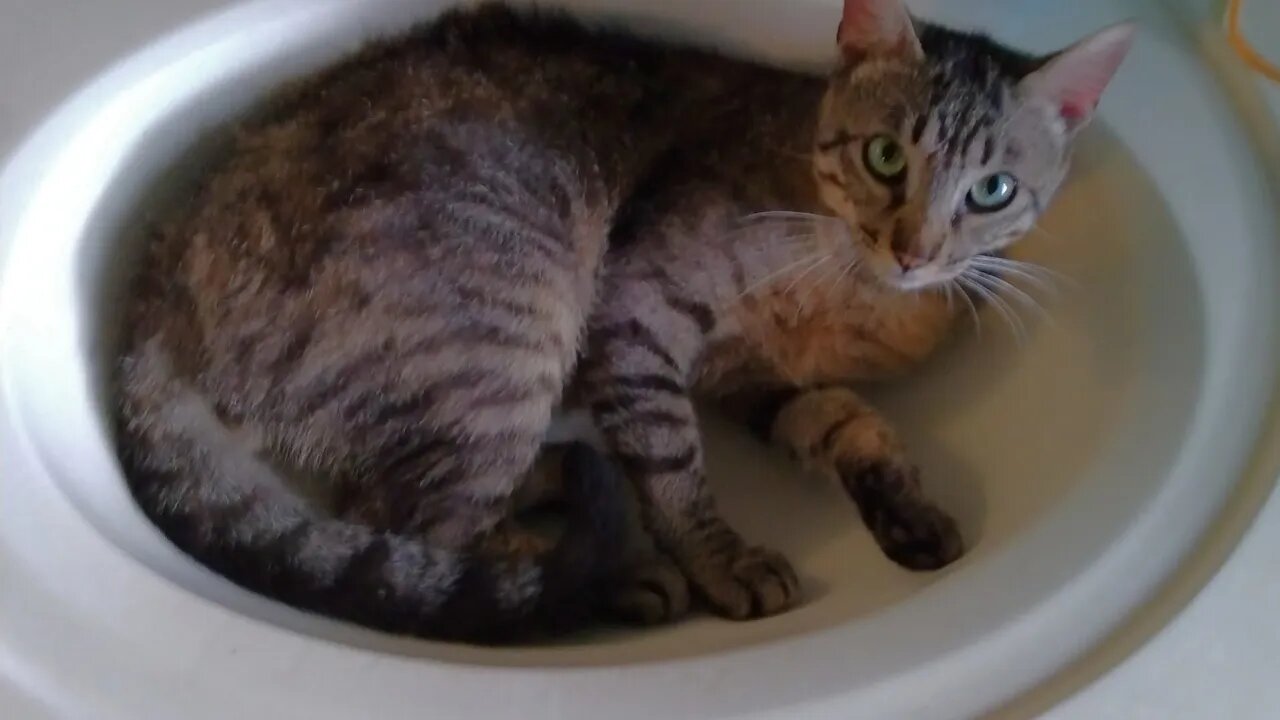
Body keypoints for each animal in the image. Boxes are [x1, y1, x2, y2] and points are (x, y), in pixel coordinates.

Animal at [110, 0, 1131, 638]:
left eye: (993, 190)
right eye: (886, 156)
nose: (914, 248)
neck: (859, 289)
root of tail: (156, 296)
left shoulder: (753, 378)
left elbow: (846, 422)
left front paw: (905, 507)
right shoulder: (637, 314)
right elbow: (675, 465)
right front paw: (721, 558)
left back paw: (567, 486)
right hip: (512, 326)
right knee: (408, 533)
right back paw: (599, 575)